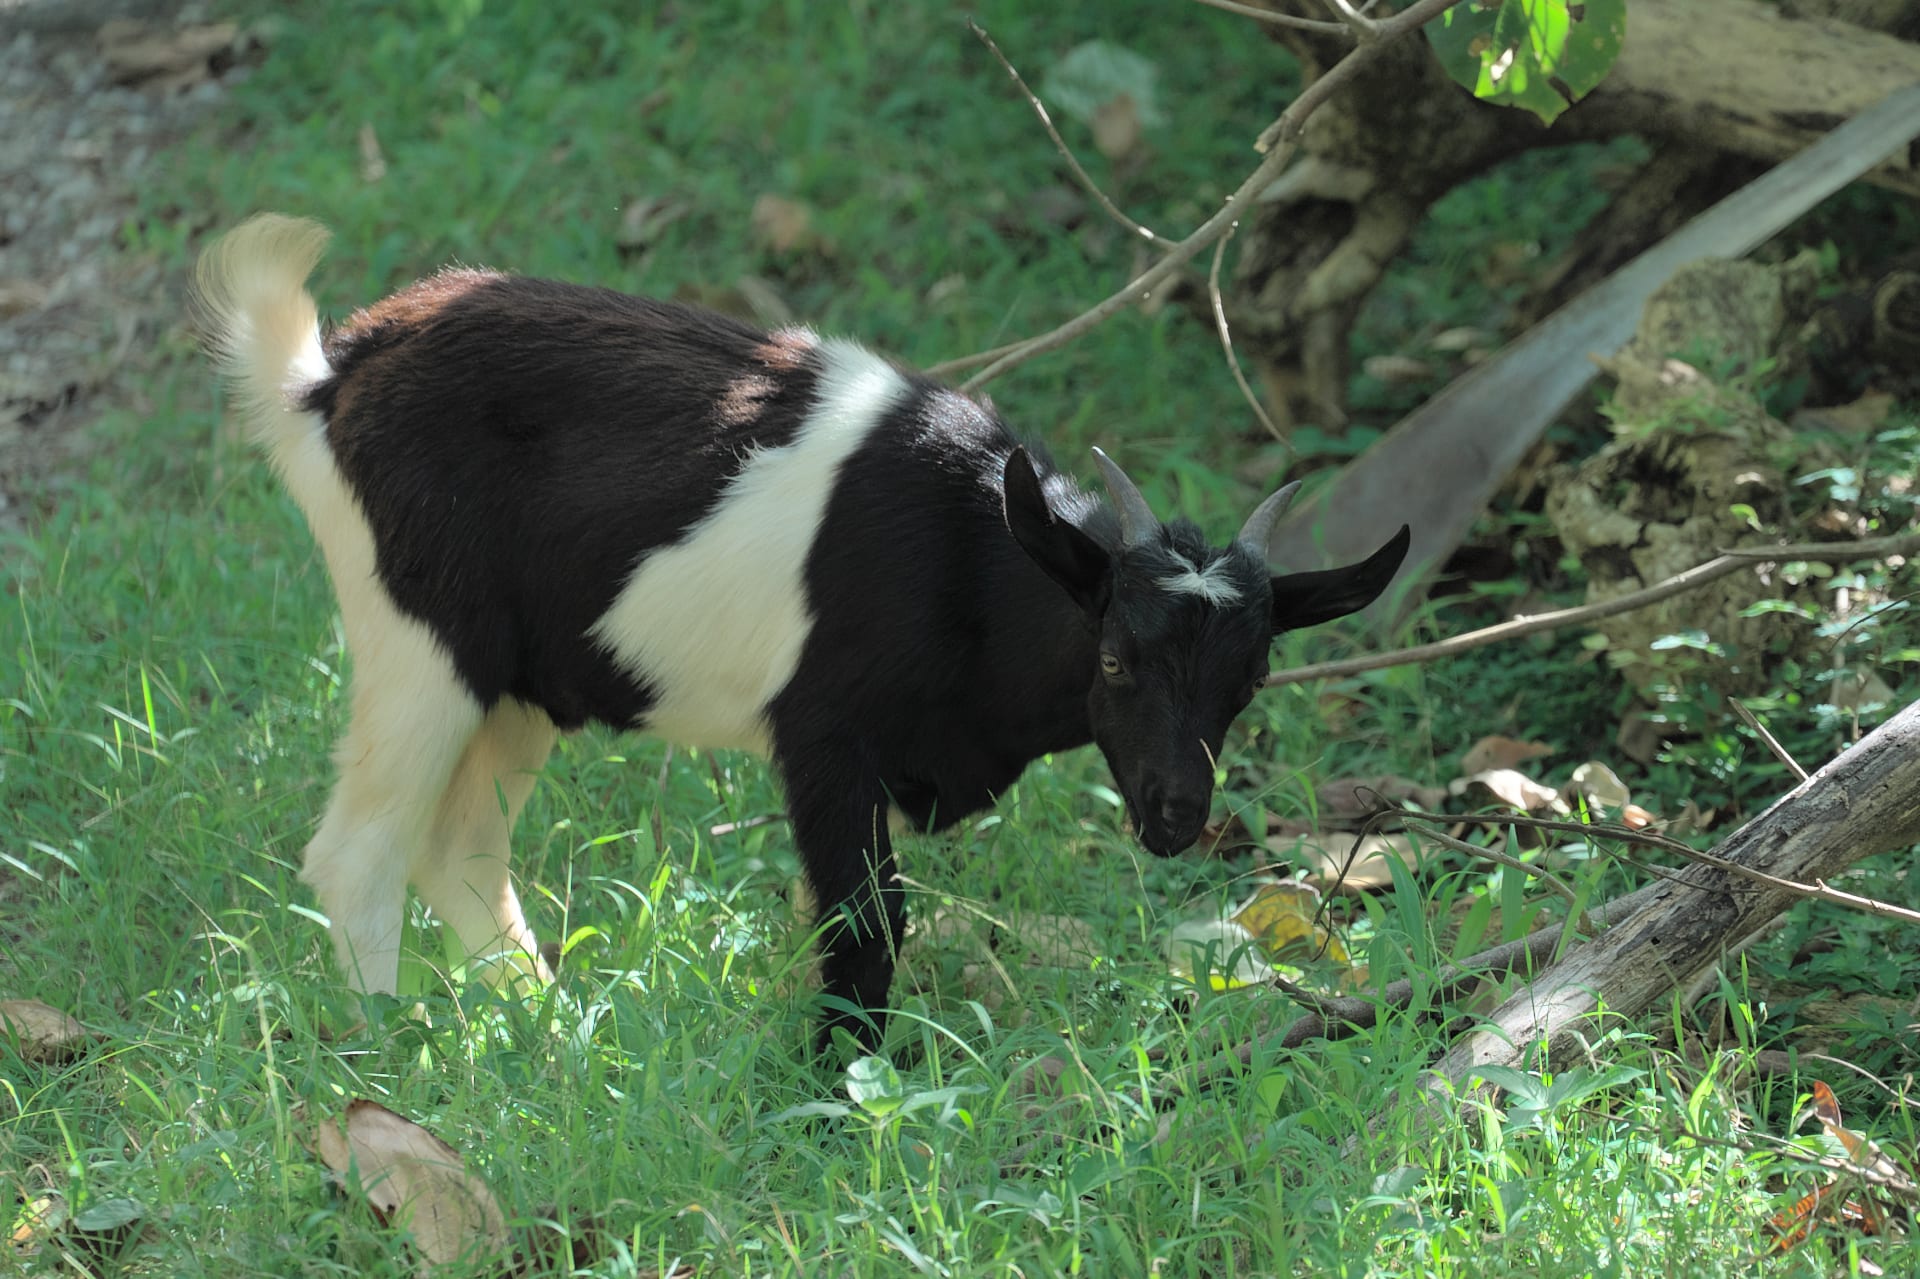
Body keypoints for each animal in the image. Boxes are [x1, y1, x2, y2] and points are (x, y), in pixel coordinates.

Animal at [194, 211, 1413, 1044]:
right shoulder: (825, 734)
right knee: (360, 850)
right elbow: (867, 920)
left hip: (519, 682)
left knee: (460, 849)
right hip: (419, 641)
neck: (973, 552)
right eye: (1114, 658)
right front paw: (839, 1076)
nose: (1175, 816)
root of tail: (329, 377)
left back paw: (540, 1026)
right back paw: (391, 1054)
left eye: (1248, 683)